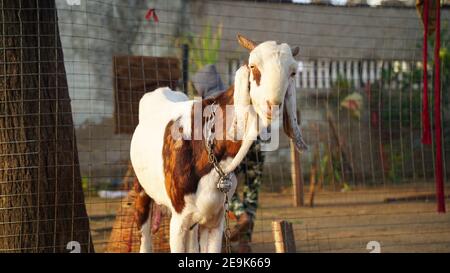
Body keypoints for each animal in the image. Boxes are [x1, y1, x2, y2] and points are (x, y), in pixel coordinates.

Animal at [128, 34, 308, 253]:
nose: (272, 105)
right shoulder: (178, 220)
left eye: (292, 72)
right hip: (141, 191)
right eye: (253, 66)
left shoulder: (216, 219)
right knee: (145, 237)